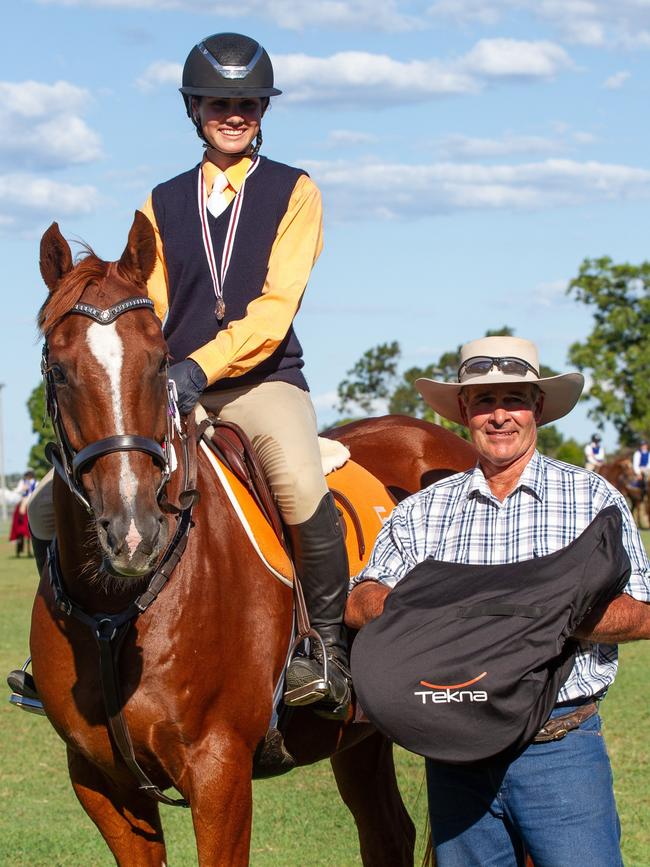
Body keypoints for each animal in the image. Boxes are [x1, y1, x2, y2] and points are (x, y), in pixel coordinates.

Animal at [26, 212, 470, 867]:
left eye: (160, 362)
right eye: (58, 371)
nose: (133, 531)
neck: (117, 610)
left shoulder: (220, 770)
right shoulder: (101, 784)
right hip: (359, 737)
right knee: (388, 833)